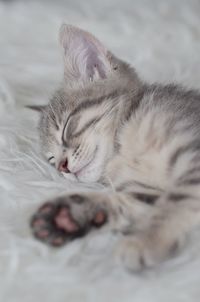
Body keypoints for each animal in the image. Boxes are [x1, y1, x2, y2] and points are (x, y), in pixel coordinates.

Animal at [29, 24, 200, 272]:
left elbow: (177, 202)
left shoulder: (193, 154)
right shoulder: (146, 191)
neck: (123, 149)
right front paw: (68, 217)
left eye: (67, 127)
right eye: (51, 159)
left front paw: (147, 240)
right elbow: (130, 203)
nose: (62, 167)